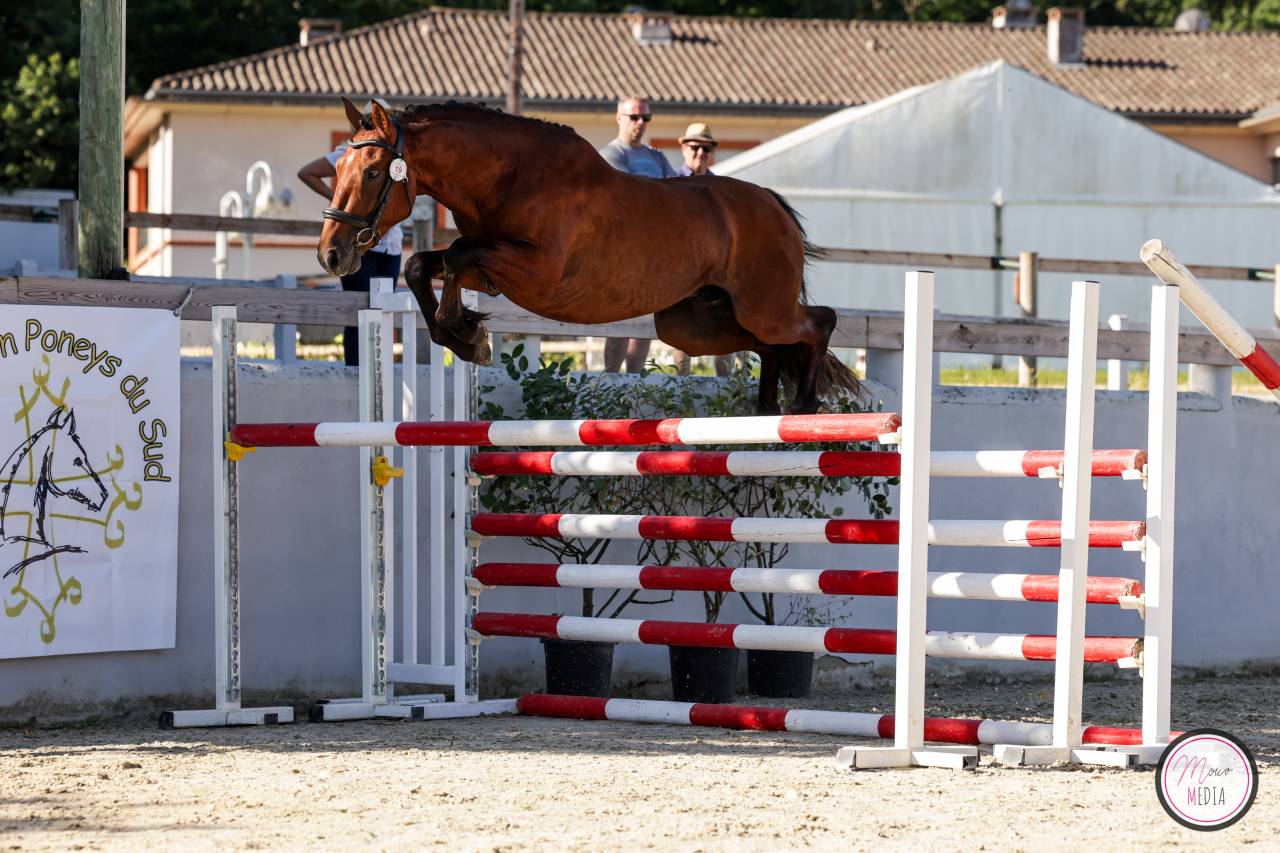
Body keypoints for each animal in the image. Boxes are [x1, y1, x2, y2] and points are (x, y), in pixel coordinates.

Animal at [317, 98, 857, 414]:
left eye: (372, 172)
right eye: (337, 168)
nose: (331, 255)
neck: (508, 177)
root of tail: (775, 207)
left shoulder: (537, 272)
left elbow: (455, 255)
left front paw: (467, 334)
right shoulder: (493, 272)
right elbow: (422, 265)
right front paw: (465, 335)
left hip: (762, 307)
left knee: (818, 323)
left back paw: (804, 407)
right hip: (693, 324)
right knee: (772, 347)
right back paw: (768, 412)